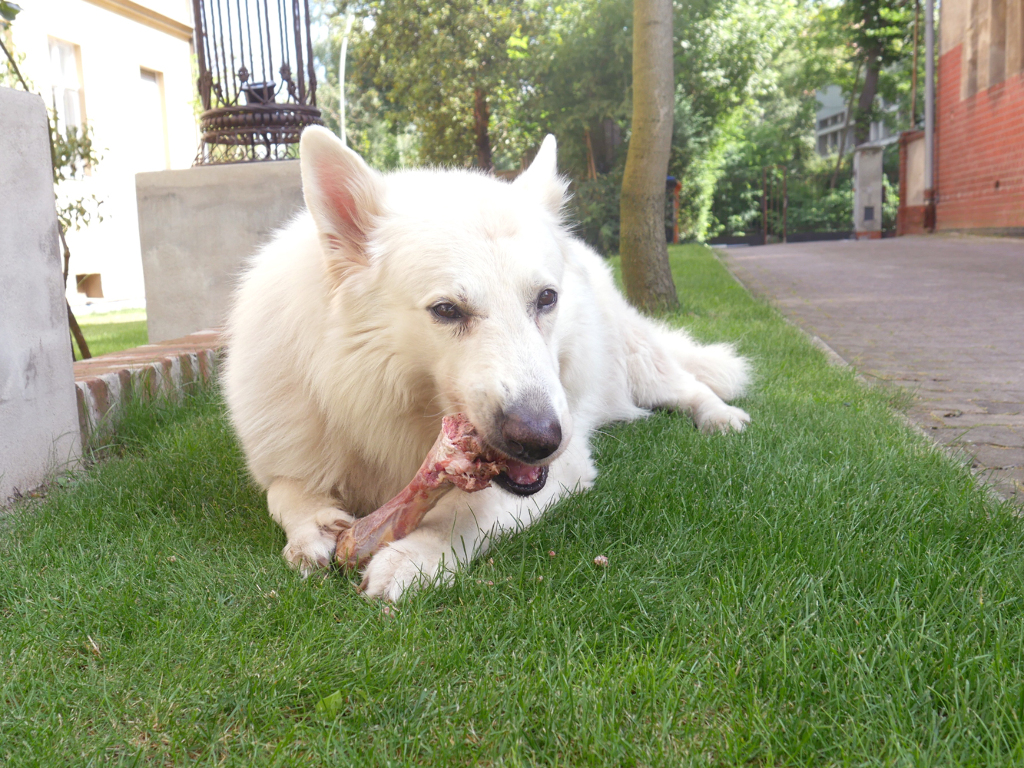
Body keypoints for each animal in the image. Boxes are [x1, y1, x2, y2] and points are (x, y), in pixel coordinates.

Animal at [224, 129, 753, 606]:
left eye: (546, 298)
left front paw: (414, 554)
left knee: (686, 384)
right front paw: (312, 527)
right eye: (446, 310)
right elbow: (284, 492)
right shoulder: (289, 456)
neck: (372, 399)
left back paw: (721, 417)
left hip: (635, 366)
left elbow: (469, 510)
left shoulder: (562, 468)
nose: (541, 440)